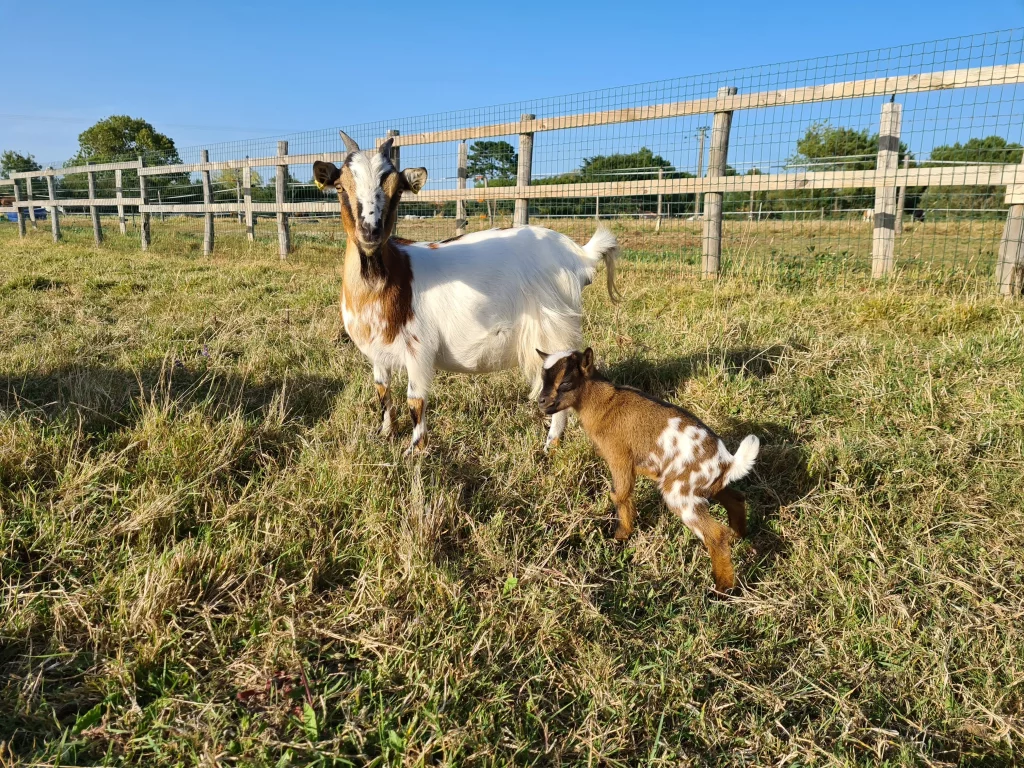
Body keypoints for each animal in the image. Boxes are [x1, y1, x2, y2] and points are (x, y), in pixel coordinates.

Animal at [312, 131, 620, 454]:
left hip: (555, 330)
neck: (386, 280)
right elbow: (382, 391)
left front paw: (414, 451)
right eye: (340, 187)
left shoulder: (419, 349)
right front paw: (384, 433)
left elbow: (415, 400)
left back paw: (550, 446)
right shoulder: (377, 352)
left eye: (397, 191)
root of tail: (580, 254)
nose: (370, 231)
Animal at [537, 348, 758, 592]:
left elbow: (620, 495)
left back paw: (723, 590)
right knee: (736, 499)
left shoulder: (619, 457)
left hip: (681, 494)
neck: (605, 403)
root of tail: (727, 462)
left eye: (566, 382)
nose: (541, 402)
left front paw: (621, 537)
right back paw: (738, 536)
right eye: (543, 378)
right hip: (707, 487)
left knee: (715, 535)